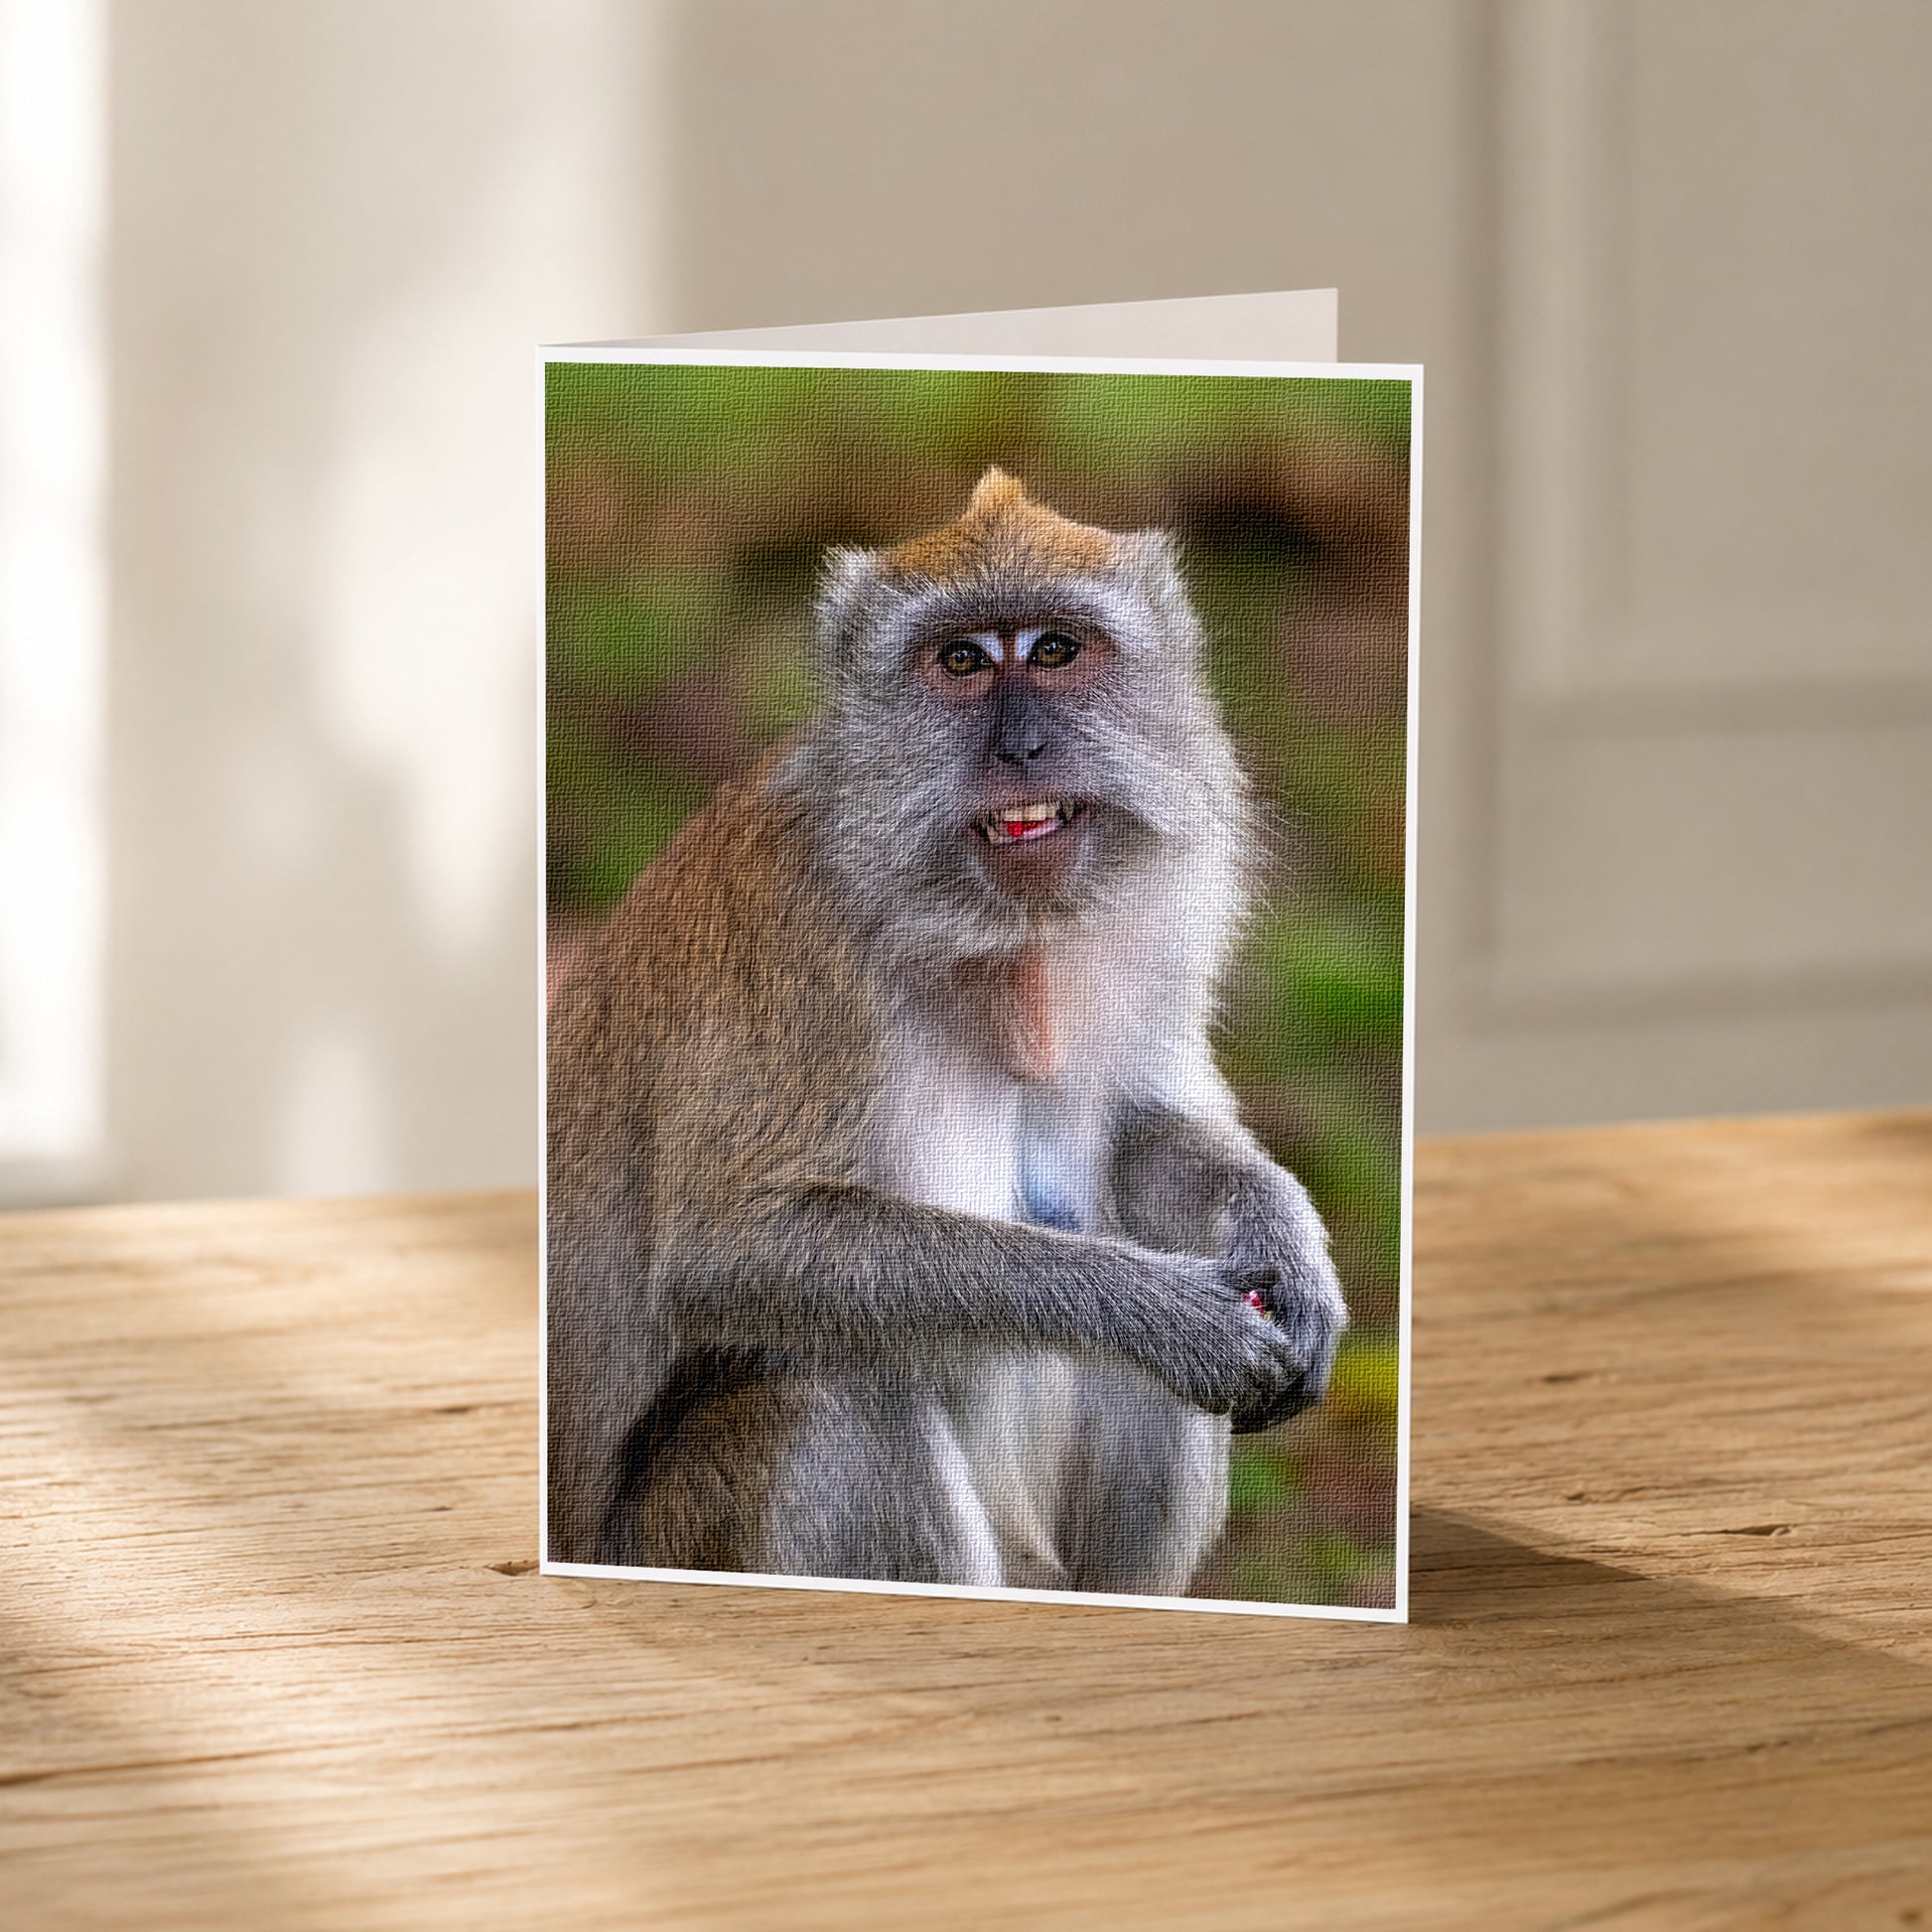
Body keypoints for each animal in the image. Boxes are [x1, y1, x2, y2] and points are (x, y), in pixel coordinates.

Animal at [545, 467, 1347, 1597]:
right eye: (961, 660)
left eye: (1054, 650)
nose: (1020, 748)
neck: (988, 932)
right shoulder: (800, 942)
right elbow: (730, 1252)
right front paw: (1160, 1310)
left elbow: (1144, 1133)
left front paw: (1285, 1238)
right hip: (670, 1541)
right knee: (831, 1391)